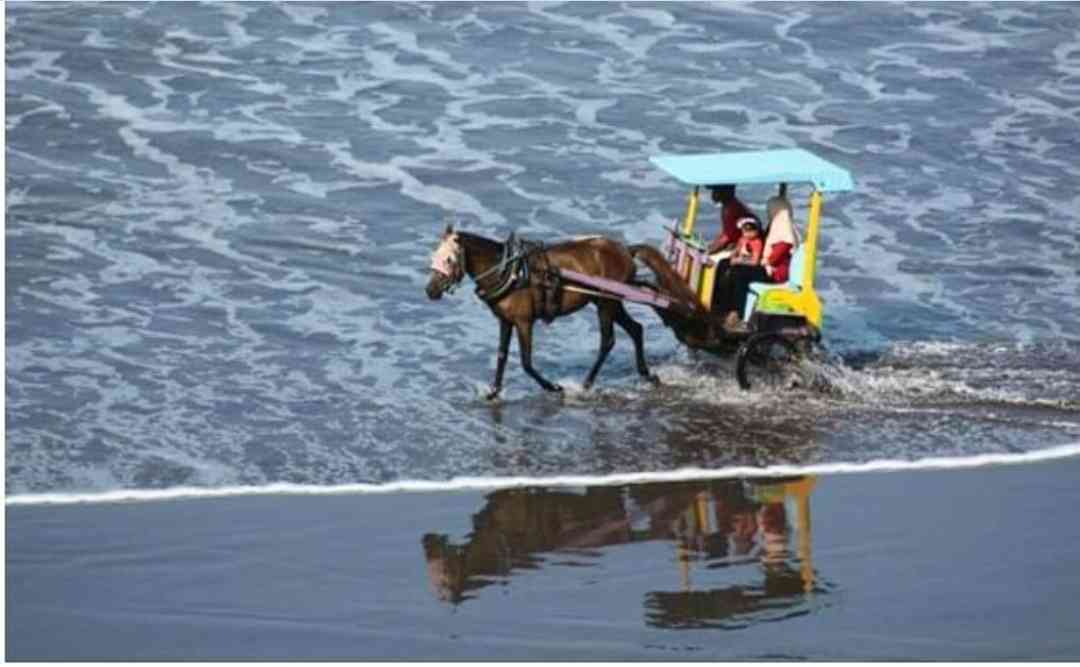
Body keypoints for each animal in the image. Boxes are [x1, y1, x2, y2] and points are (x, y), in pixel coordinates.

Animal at [425, 225, 660, 397]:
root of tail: (626, 250)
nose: (430, 290)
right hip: (610, 302)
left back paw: (587, 383)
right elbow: (502, 355)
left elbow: (526, 362)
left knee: (608, 341)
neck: (508, 271)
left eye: (449, 259)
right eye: (433, 257)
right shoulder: (505, 320)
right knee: (636, 329)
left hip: (606, 303)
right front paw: (494, 392)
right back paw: (647, 375)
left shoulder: (524, 322)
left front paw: (553, 387)